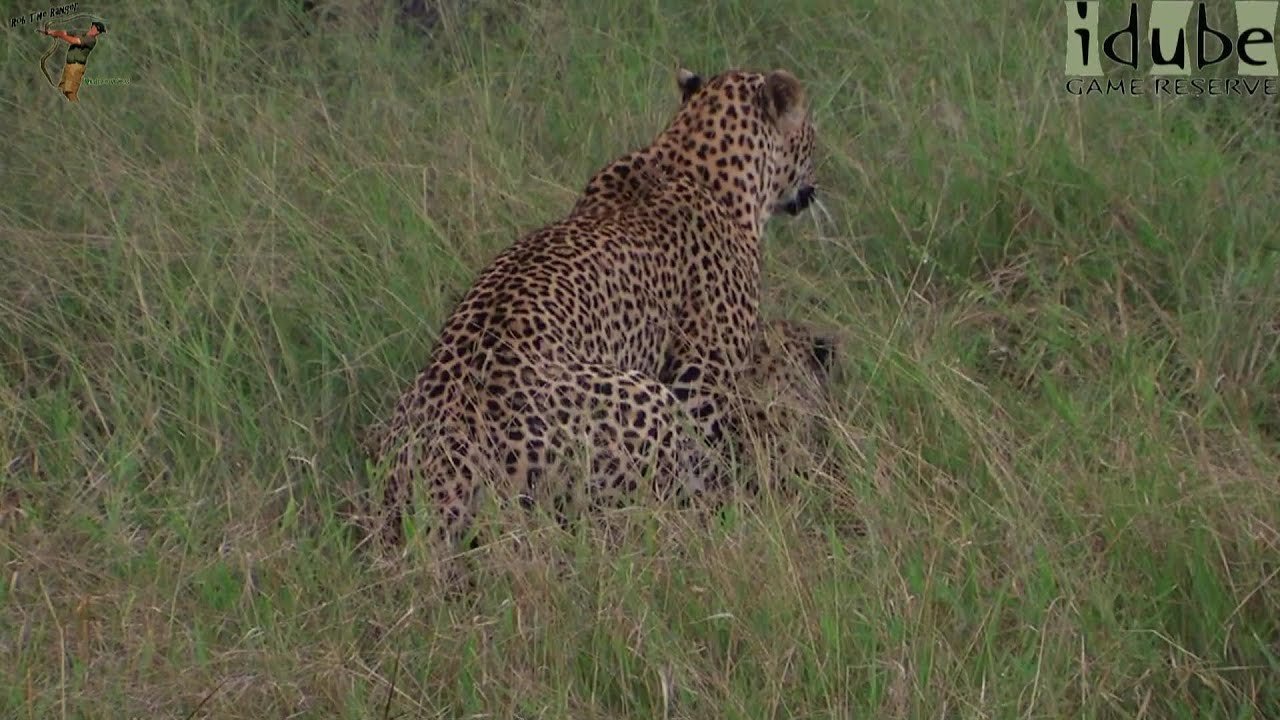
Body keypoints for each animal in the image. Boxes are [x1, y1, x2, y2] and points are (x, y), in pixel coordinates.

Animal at [366, 65, 819, 556]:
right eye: (812, 132)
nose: (814, 187)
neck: (688, 156)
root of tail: (448, 457)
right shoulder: (702, 378)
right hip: (647, 406)